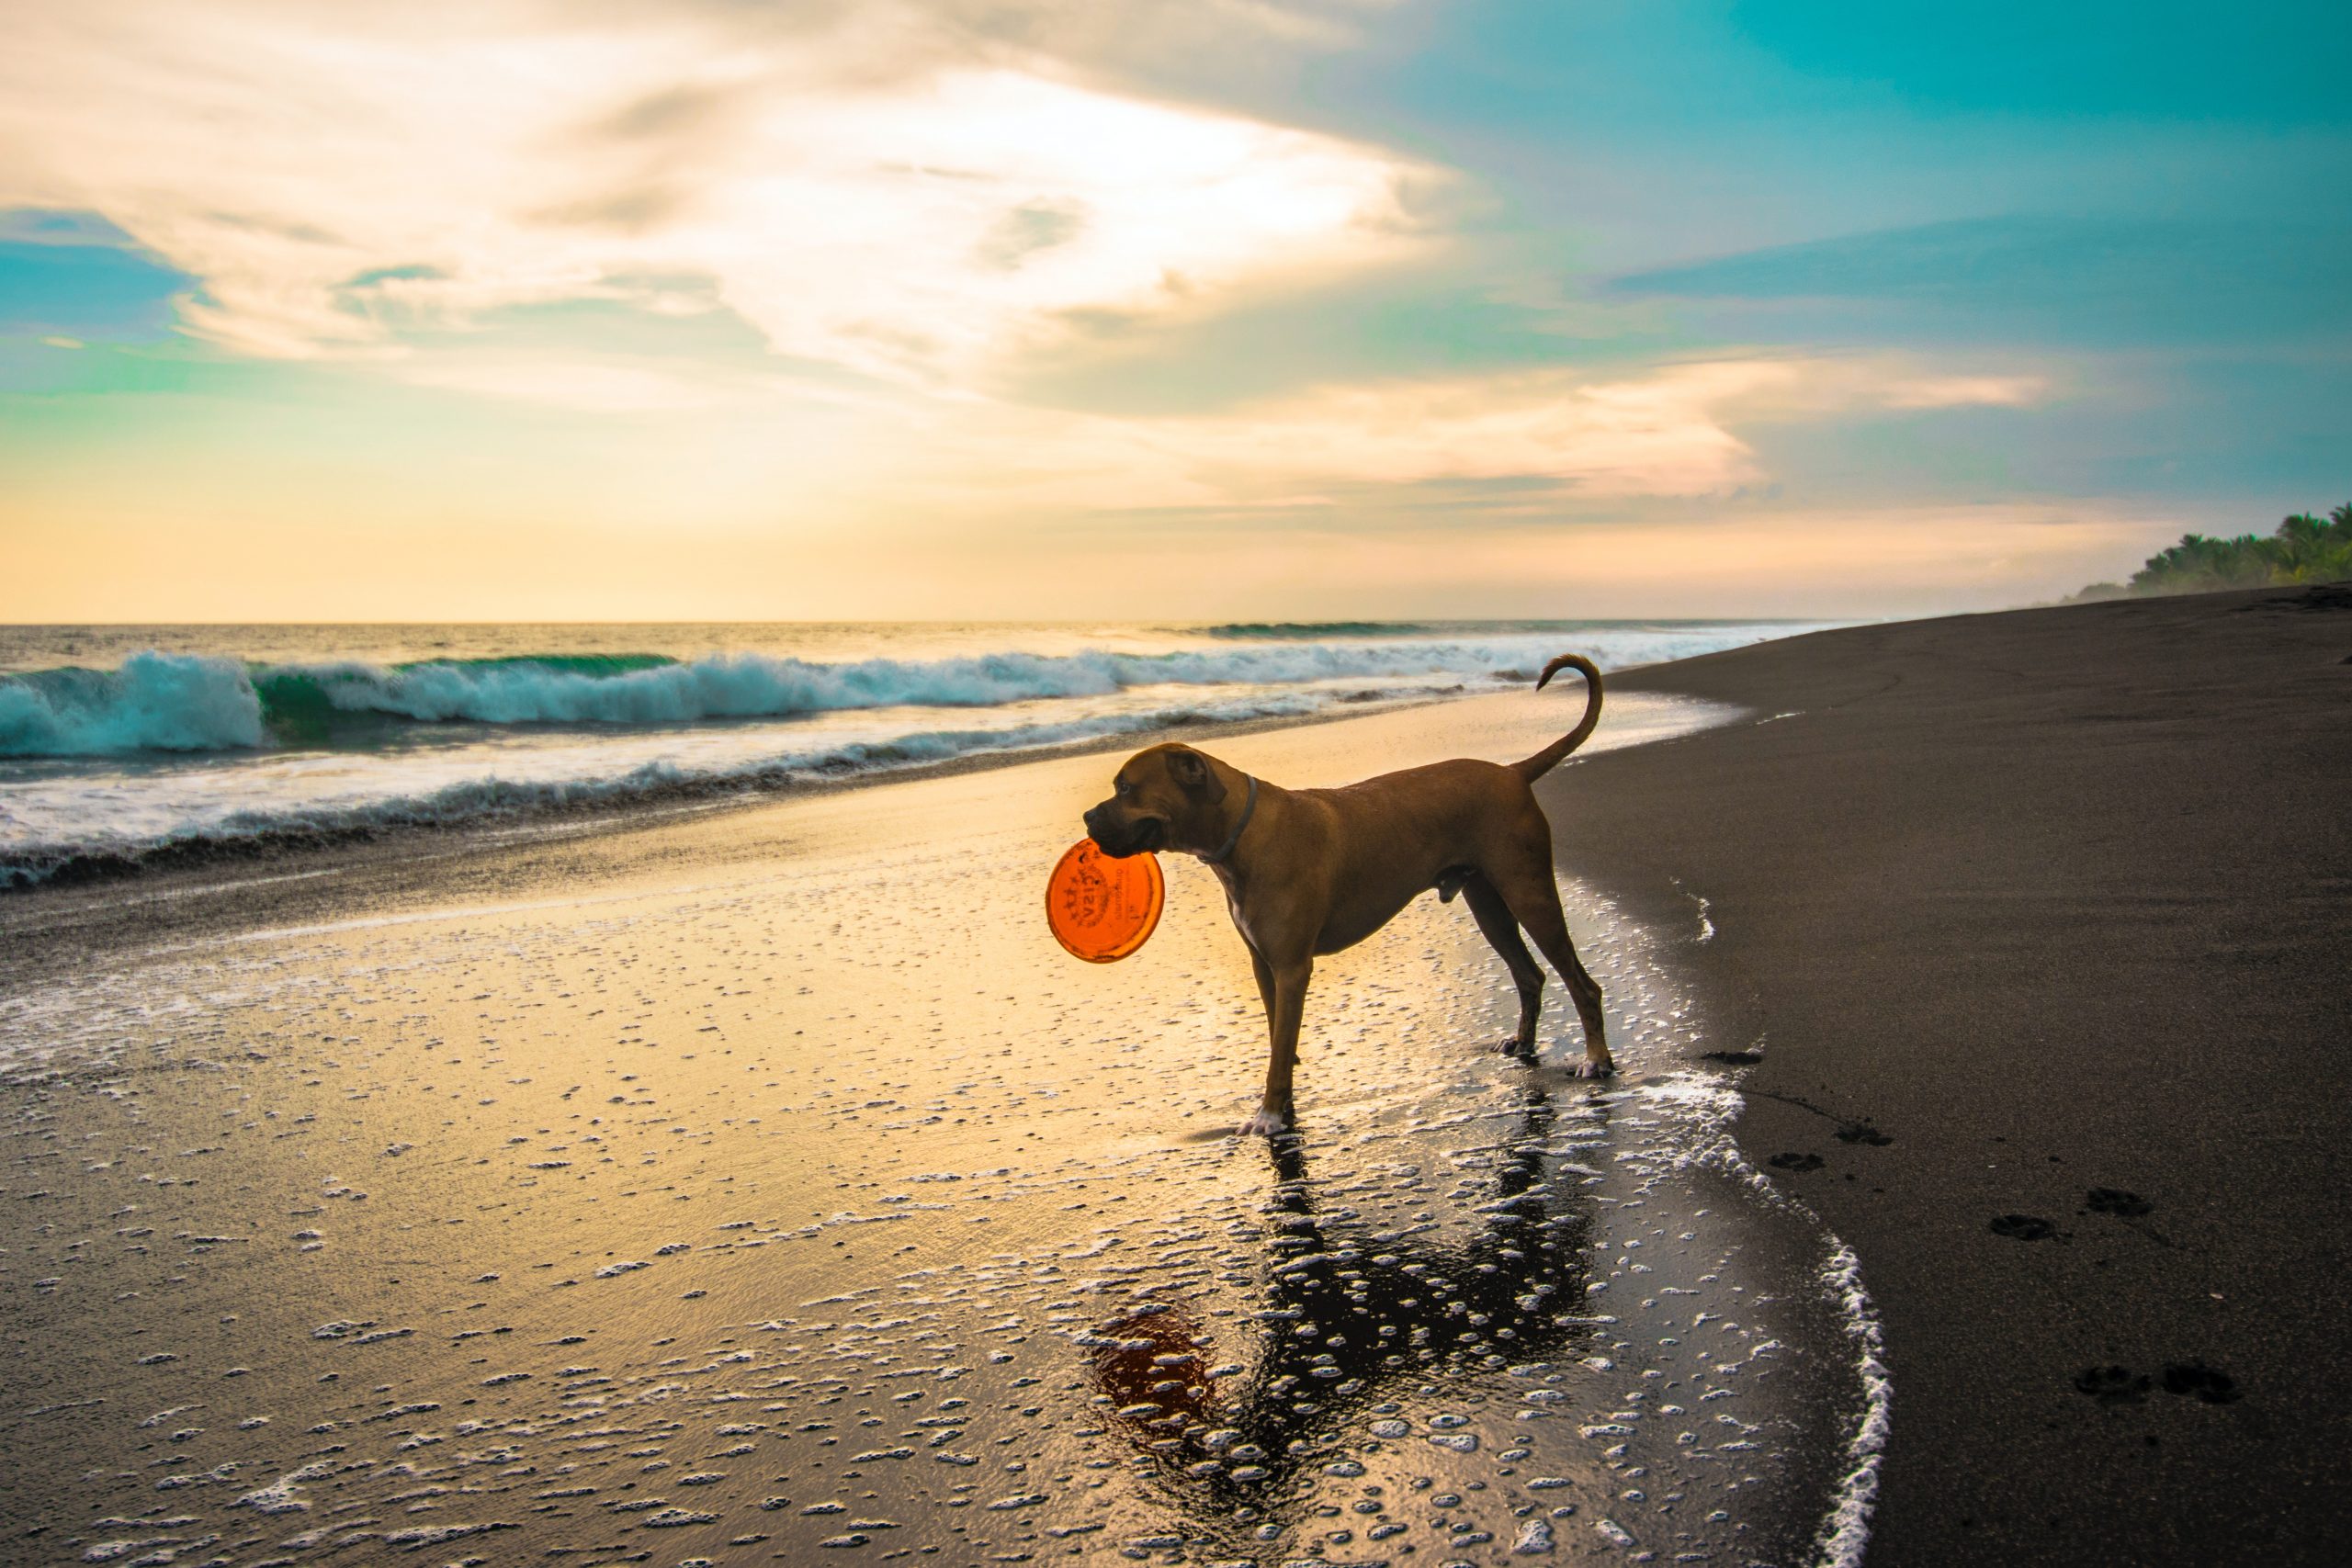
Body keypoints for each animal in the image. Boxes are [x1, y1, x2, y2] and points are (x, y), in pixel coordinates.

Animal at [1086, 658, 1618, 1133]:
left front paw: (1270, 1115)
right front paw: (1284, 1102)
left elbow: (1281, 1047)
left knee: (1581, 983)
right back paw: (1524, 1043)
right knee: (1529, 974)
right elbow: (1279, 1038)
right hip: (1489, 904)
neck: (1243, 832)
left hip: (1530, 893)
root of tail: (1512, 772)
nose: (1088, 819)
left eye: (1126, 787)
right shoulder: (1264, 966)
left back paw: (1596, 1060)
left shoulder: (1291, 968)